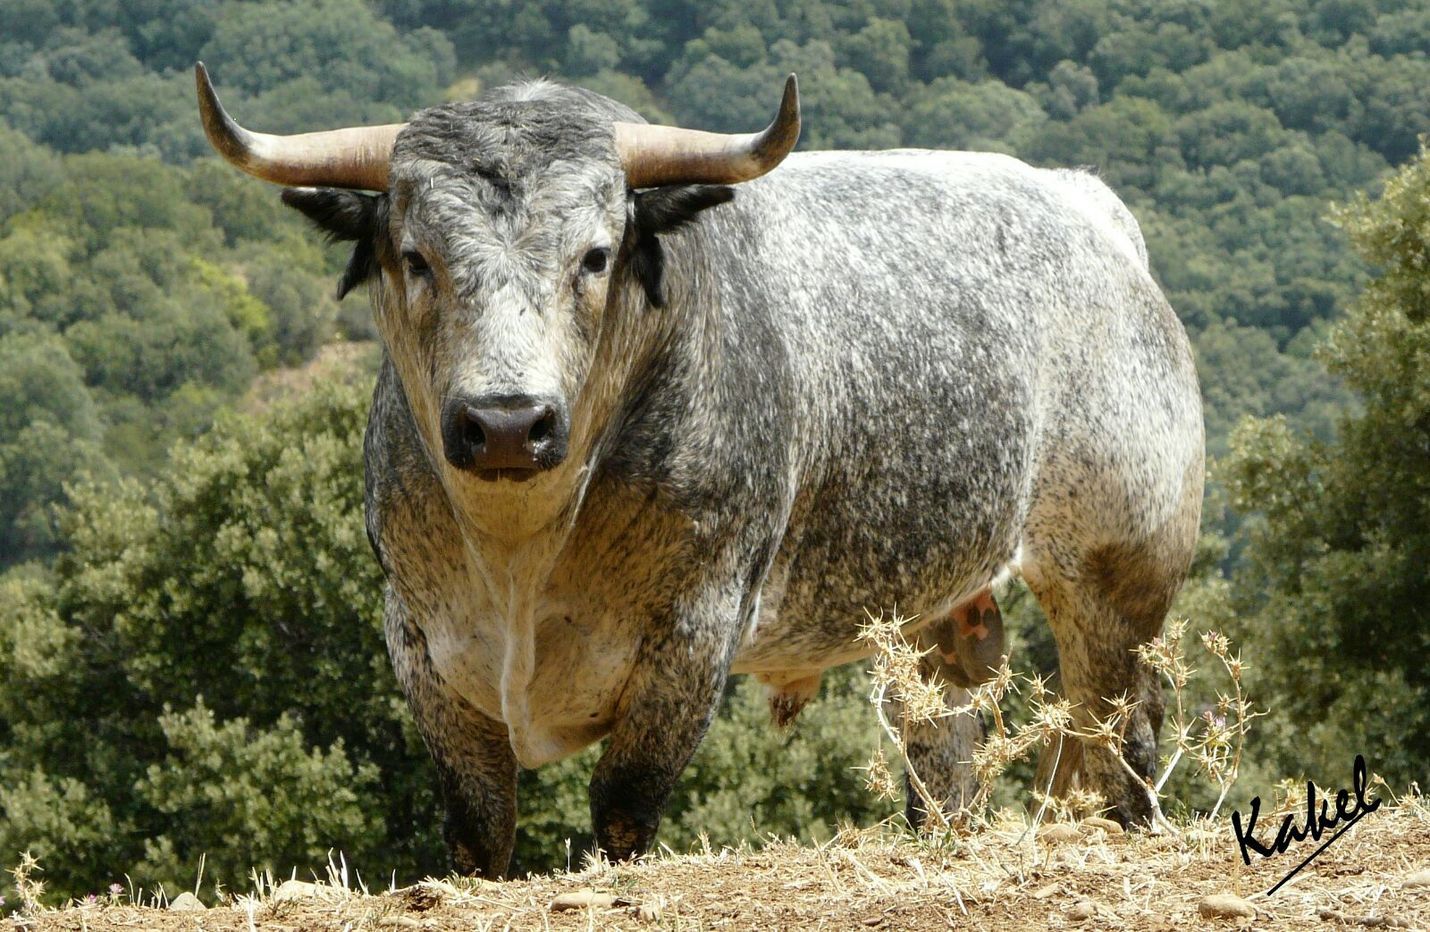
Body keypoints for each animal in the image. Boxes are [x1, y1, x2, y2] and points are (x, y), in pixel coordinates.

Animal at [195, 61, 1201, 874]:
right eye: (415, 257)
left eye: (596, 255)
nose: (508, 424)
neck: (520, 550)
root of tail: (1088, 209)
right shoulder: (419, 636)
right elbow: (480, 827)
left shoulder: (692, 630)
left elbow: (624, 808)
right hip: (931, 609)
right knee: (945, 745)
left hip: (1118, 574)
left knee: (1121, 732)